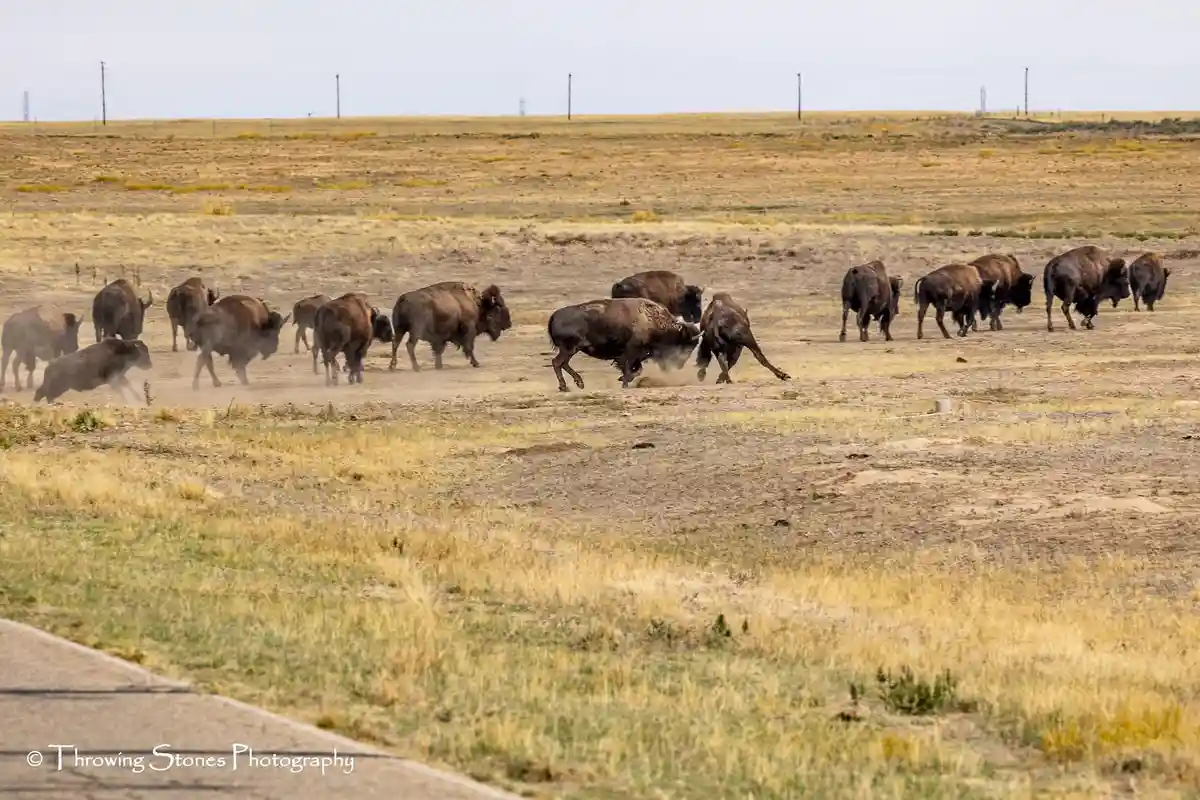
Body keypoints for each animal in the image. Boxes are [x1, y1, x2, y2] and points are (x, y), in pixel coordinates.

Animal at [548, 297, 701, 391]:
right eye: (686, 344)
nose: (679, 365)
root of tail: (554, 316)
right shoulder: (631, 353)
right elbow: (629, 368)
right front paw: (625, 383)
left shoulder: (637, 356)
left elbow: (637, 369)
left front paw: (622, 379)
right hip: (569, 349)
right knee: (558, 363)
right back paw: (565, 386)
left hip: (570, 349)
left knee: (562, 363)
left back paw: (577, 384)